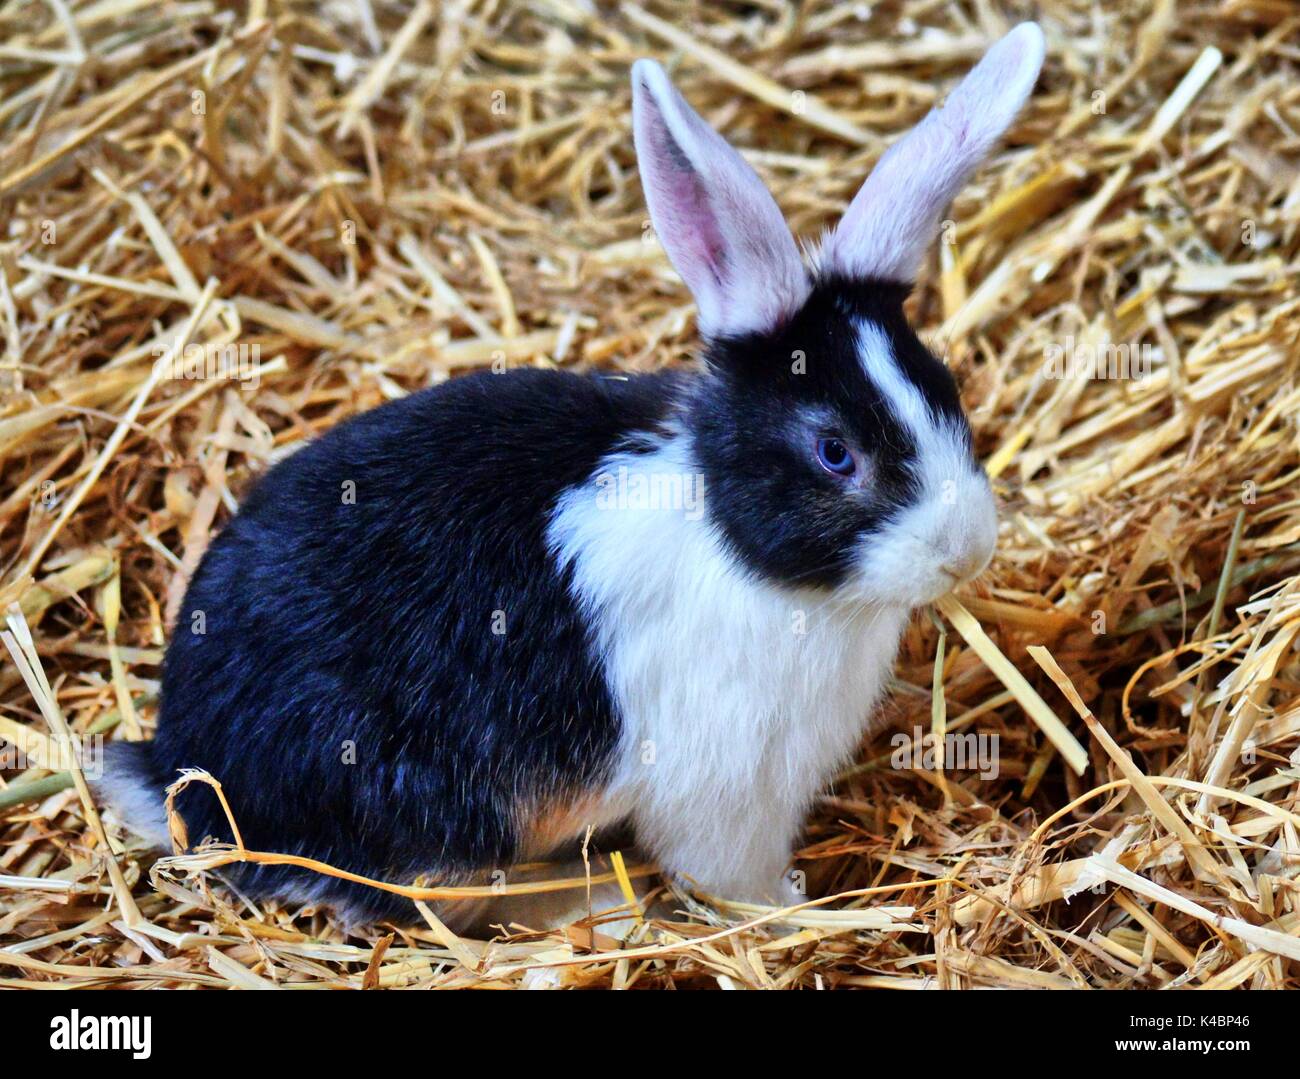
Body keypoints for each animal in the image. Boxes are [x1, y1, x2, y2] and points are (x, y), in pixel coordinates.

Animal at [95, 23, 1045, 930]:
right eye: (834, 451)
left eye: (947, 387)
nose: (968, 551)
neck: (734, 542)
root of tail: (176, 767)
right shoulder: (727, 788)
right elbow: (727, 876)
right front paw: (783, 915)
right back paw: (606, 909)